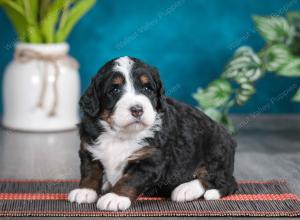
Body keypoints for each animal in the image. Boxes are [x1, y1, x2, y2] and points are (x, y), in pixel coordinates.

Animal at [68, 55, 237, 211]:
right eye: (114, 89)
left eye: (147, 88)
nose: (137, 109)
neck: (122, 134)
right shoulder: (88, 146)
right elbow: (90, 170)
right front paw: (85, 190)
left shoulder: (150, 160)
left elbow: (129, 179)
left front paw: (115, 197)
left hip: (216, 150)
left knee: (217, 179)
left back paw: (185, 190)